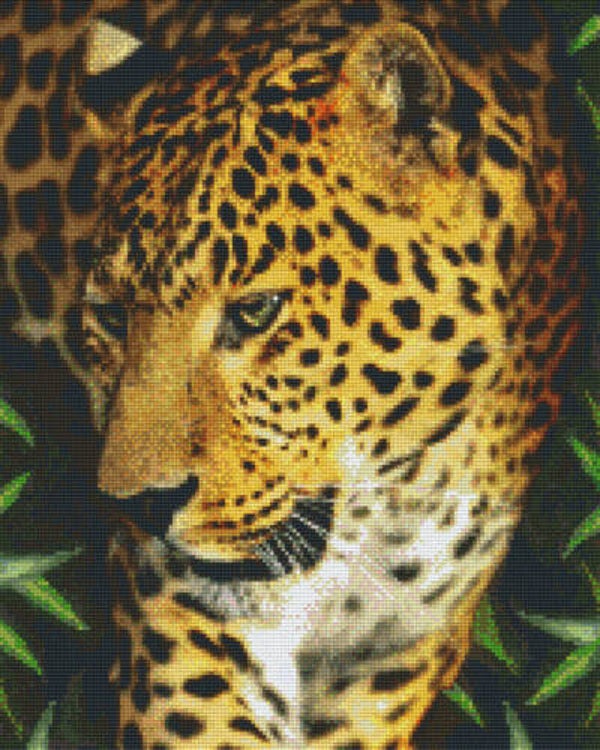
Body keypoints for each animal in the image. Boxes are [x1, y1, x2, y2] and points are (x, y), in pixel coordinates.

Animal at [0, 1, 586, 748]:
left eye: (255, 311)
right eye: (110, 316)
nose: (141, 507)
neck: (392, 507)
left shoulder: (394, 658)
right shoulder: (176, 607)